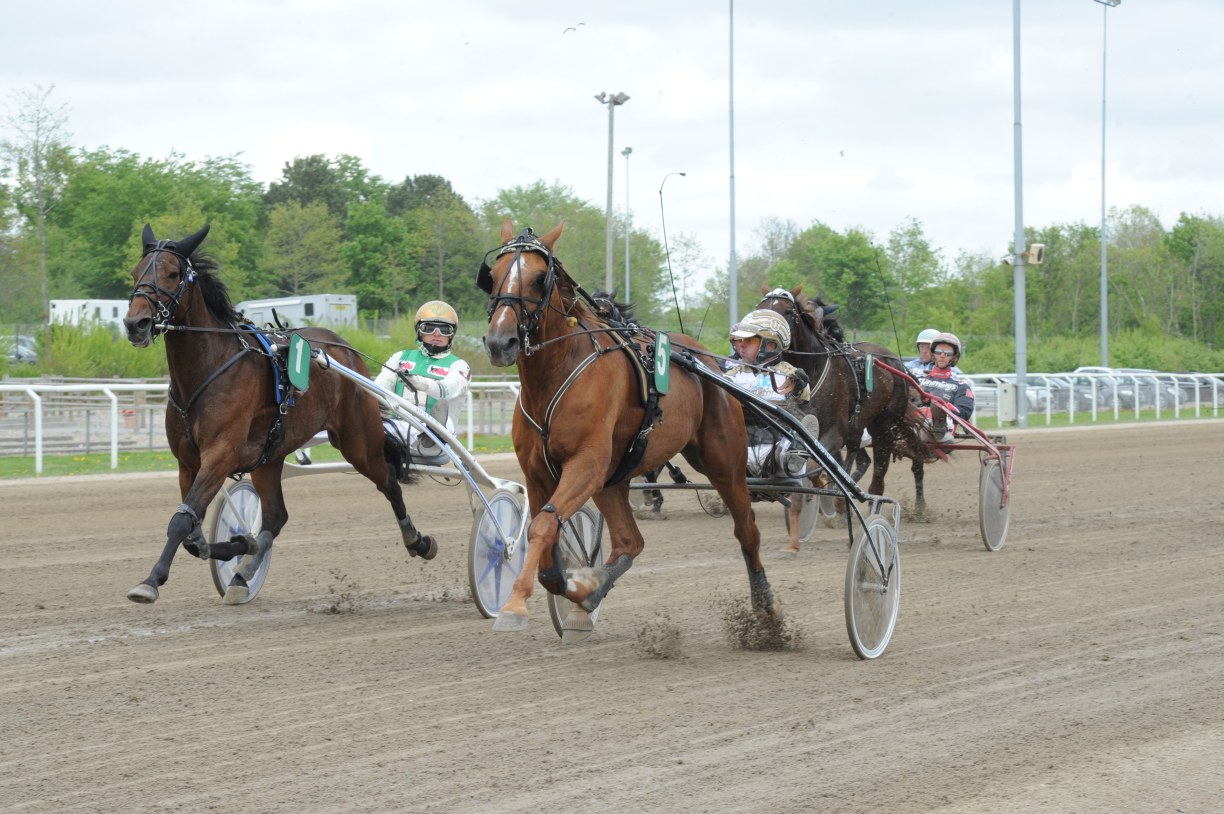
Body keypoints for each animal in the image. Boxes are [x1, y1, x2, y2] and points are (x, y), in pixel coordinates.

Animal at [121, 222, 438, 602]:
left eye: (172, 273)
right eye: (136, 272)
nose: (136, 323)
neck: (206, 369)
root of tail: (342, 347)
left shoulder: (220, 454)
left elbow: (182, 521)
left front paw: (151, 581)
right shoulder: (188, 461)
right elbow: (192, 532)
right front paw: (239, 542)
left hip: (358, 441)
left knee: (389, 482)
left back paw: (418, 541)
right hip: (269, 457)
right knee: (275, 516)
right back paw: (243, 572)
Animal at [479, 219, 778, 631]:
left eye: (540, 278)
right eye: (491, 277)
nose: (499, 342)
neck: (554, 376)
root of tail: (705, 358)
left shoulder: (586, 464)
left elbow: (542, 527)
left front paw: (514, 605)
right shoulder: (539, 473)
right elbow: (548, 555)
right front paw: (581, 584)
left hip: (723, 462)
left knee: (746, 528)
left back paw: (765, 604)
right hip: (614, 478)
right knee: (629, 541)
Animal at [753, 283, 925, 501]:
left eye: (787, 312)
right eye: (760, 309)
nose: (764, 344)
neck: (812, 369)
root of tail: (897, 363)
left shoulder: (835, 433)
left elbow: (815, 465)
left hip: (884, 426)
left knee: (878, 476)